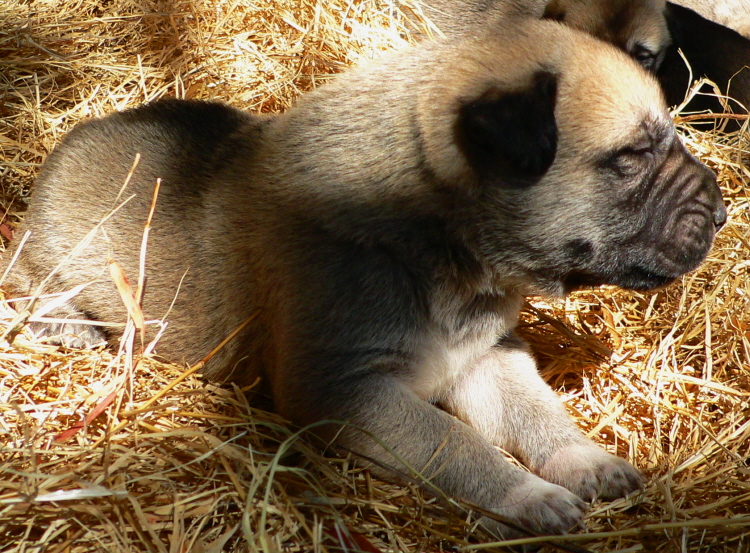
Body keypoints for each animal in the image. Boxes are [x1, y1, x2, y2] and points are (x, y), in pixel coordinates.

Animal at [2, 20, 724, 536]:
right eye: (633, 156)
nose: (720, 213)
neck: (444, 235)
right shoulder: (348, 391)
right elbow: (453, 444)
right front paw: (528, 496)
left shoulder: (487, 355)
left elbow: (535, 412)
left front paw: (584, 462)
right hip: (51, 257)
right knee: (28, 284)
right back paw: (67, 325)